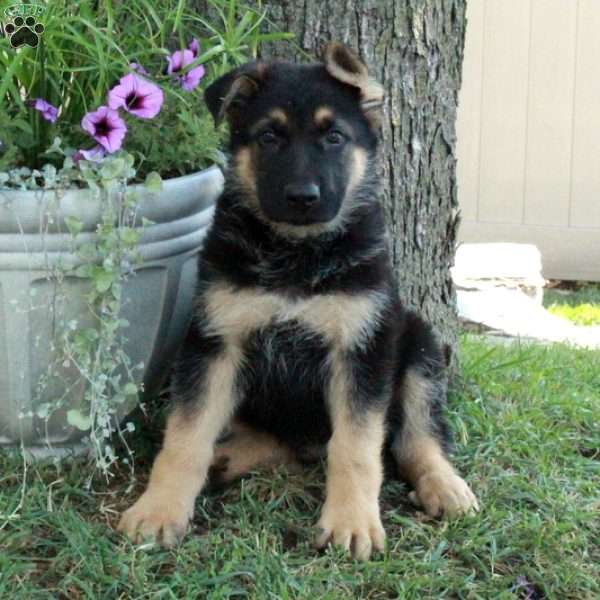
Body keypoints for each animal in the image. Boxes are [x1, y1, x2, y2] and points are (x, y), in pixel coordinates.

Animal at [119, 43, 478, 564]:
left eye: (334, 136)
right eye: (269, 136)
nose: (302, 197)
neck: (296, 252)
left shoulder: (362, 348)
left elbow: (356, 448)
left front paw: (352, 522)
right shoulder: (215, 343)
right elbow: (185, 436)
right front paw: (159, 510)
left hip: (417, 342)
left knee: (416, 436)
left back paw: (444, 485)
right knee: (274, 439)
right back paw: (226, 457)